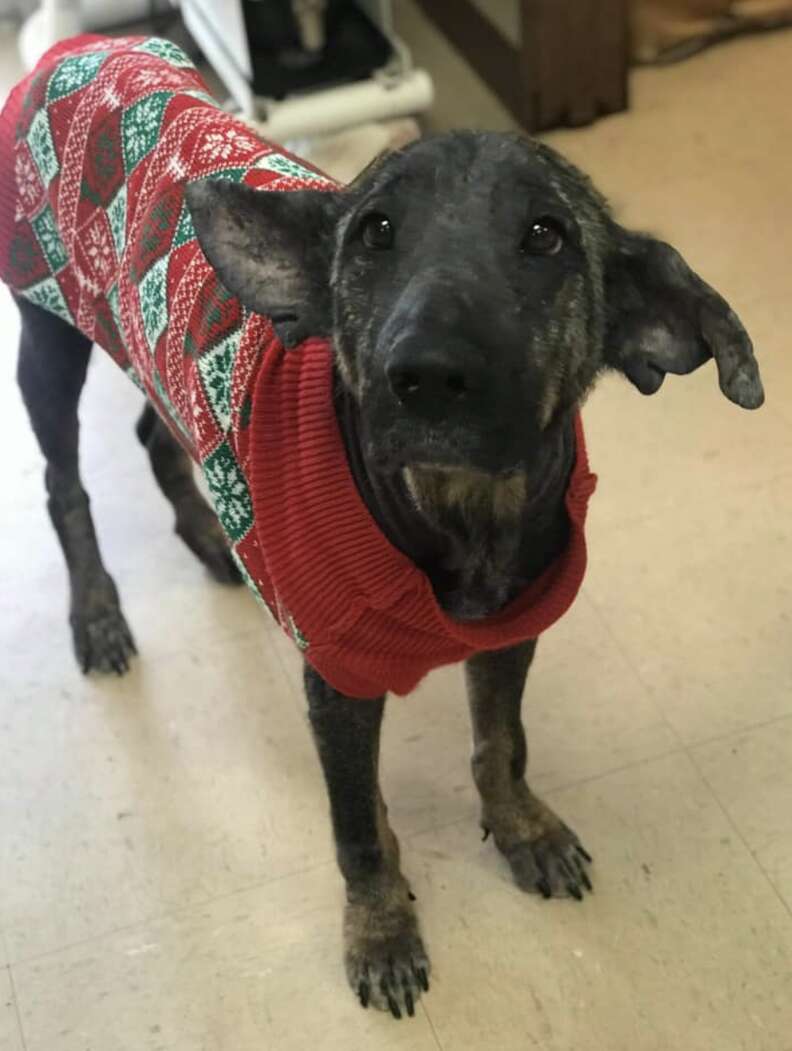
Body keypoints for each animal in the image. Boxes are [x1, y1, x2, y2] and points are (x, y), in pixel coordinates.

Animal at [1, 34, 764, 1017]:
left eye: (546, 234)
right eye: (375, 230)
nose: (427, 376)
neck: (459, 516)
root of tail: (75, 43)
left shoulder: (513, 635)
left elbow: (502, 744)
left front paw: (522, 829)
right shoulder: (338, 686)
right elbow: (358, 822)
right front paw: (383, 929)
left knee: (154, 431)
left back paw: (209, 540)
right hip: (45, 340)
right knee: (63, 485)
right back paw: (97, 613)